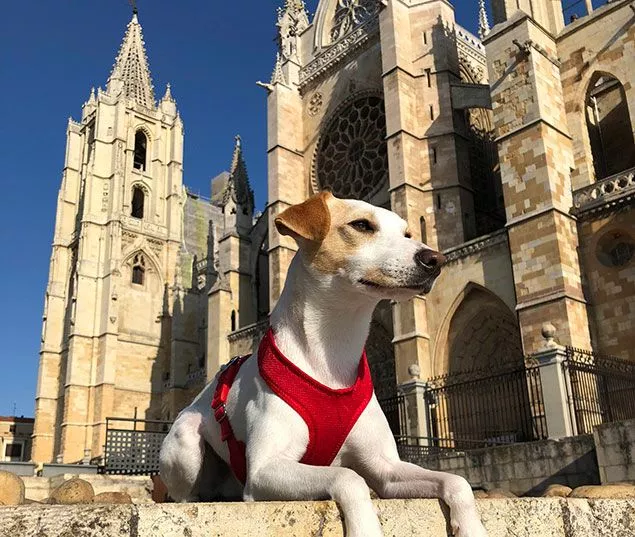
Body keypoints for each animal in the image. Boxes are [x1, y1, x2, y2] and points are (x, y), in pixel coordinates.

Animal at [159, 193, 486, 536]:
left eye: (407, 233)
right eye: (361, 225)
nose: (435, 260)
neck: (333, 352)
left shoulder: (386, 469)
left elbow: (458, 481)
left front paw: (471, 527)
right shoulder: (265, 470)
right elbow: (349, 477)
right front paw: (365, 528)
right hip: (188, 443)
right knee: (185, 495)